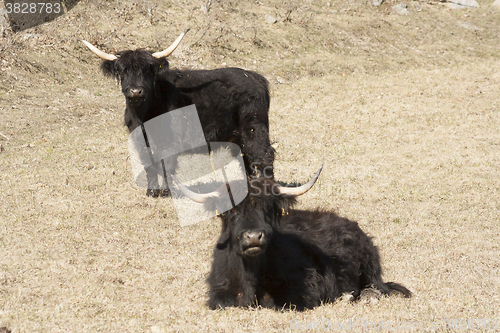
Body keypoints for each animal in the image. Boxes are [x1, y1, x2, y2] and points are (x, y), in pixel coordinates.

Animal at [78, 30, 276, 195]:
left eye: (148, 70)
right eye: (122, 71)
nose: (135, 91)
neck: (143, 115)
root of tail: (255, 77)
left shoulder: (170, 141)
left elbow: (166, 165)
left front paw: (166, 191)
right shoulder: (140, 140)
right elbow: (149, 165)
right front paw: (151, 191)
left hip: (254, 127)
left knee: (264, 154)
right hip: (238, 136)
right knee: (247, 158)